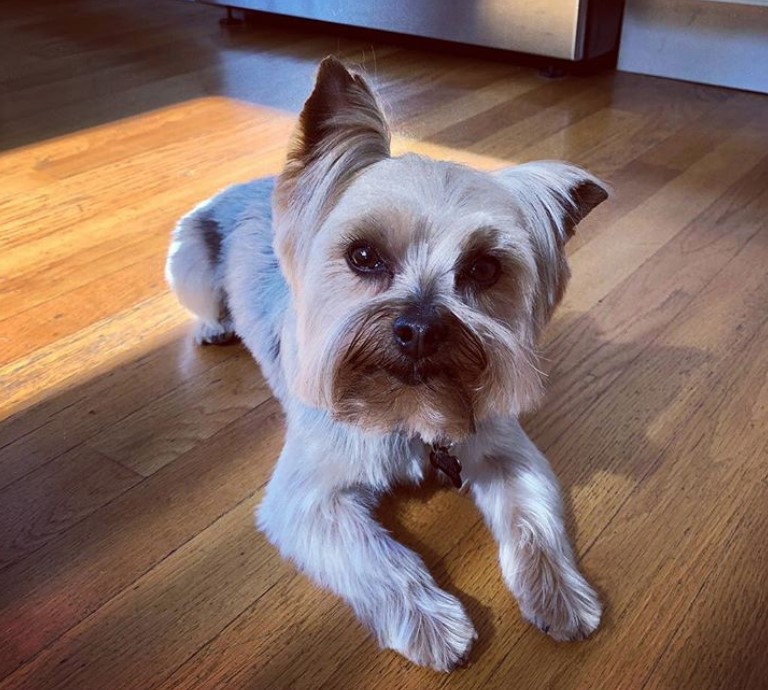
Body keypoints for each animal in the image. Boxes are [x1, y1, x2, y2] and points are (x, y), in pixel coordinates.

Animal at [165, 56, 608, 668]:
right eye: (364, 255)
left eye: (485, 268)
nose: (420, 329)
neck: (407, 403)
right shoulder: (310, 498)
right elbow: (377, 556)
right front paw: (432, 623)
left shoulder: (501, 445)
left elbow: (534, 518)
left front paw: (559, 594)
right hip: (188, 255)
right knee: (201, 297)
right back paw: (214, 326)